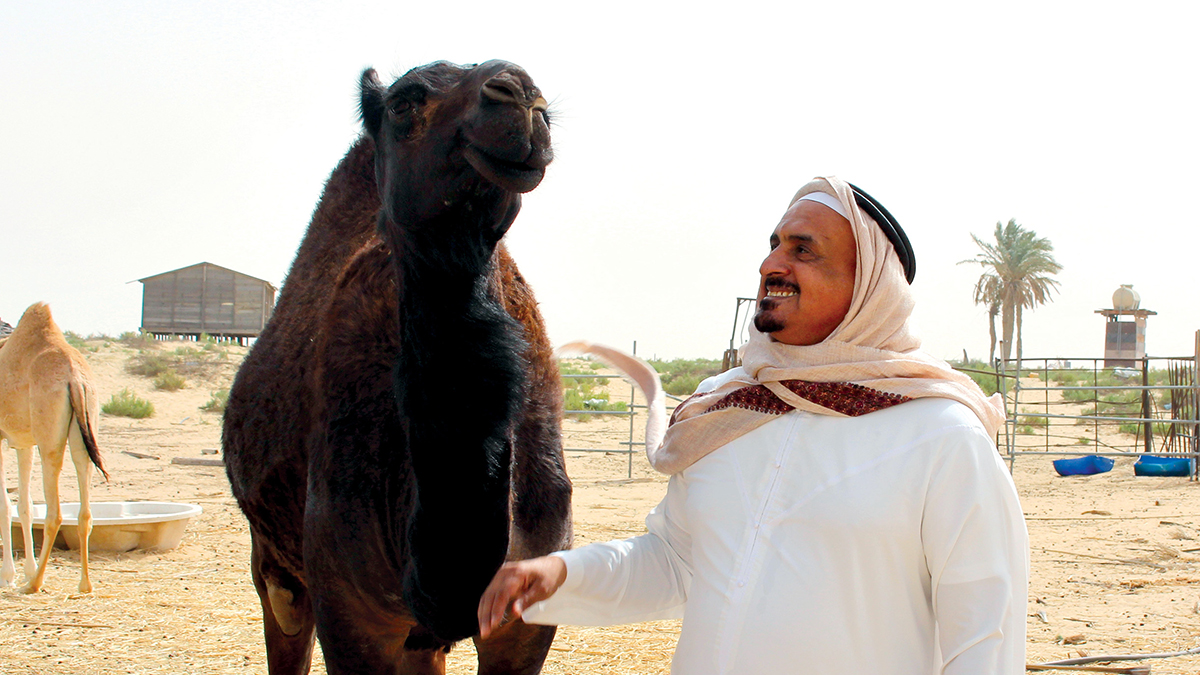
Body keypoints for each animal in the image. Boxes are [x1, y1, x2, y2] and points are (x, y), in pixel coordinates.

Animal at [0, 302, 106, 590]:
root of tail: (74, 377)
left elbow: (5, 506)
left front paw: (9, 576)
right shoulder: (22, 443)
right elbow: (24, 507)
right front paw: (24, 571)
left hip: (49, 441)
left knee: (55, 513)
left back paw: (34, 584)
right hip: (85, 428)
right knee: (84, 509)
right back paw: (84, 585)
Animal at [224, 59, 571, 672]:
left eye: (541, 106)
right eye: (405, 102)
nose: (520, 94)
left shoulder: (526, 617)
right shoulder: (351, 611)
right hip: (276, 567)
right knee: (284, 617)